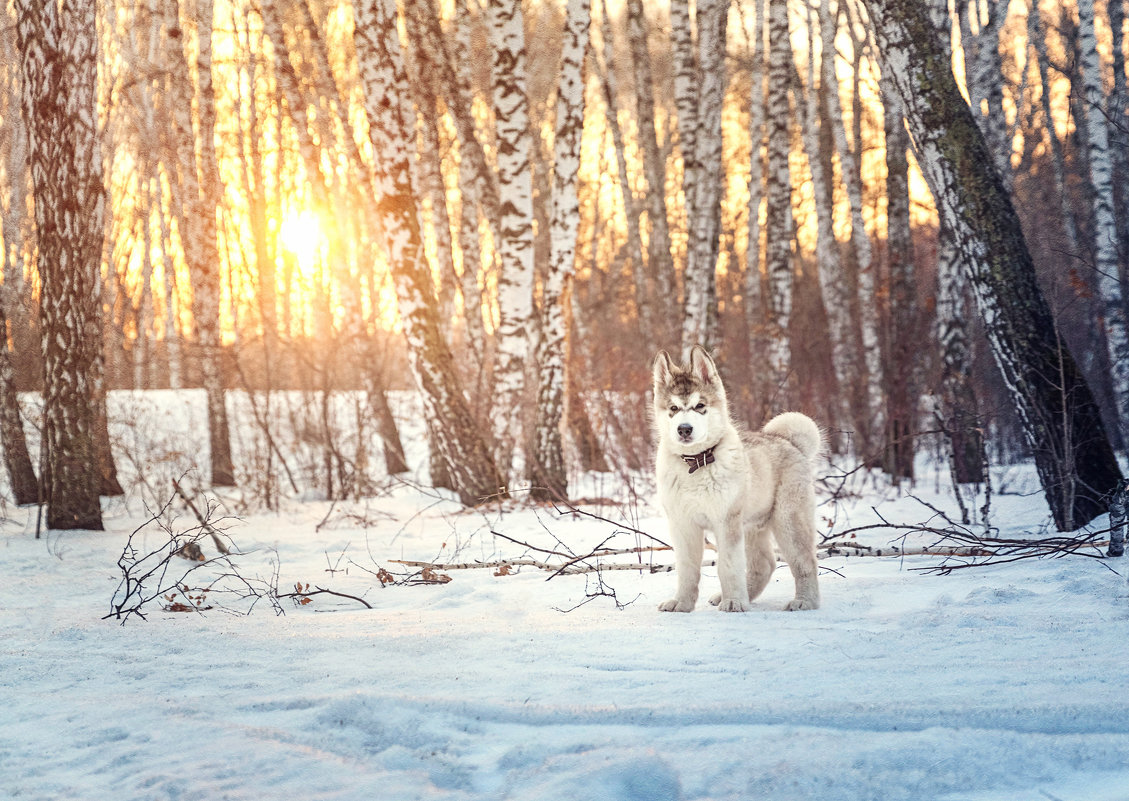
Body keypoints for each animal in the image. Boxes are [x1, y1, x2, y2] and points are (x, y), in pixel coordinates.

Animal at [650, 345, 826, 614]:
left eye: (700, 405)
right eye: (673, 409)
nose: (684, 429)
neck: (696, 463)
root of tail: (790, 442)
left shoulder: (726, 521)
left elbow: (729, 566)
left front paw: (734, 601)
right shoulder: (683, 525)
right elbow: (687, 569)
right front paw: (682, 603)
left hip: (788, 520)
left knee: (805, 561)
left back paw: (805, 601)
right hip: (753, 525)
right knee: (764, 564)